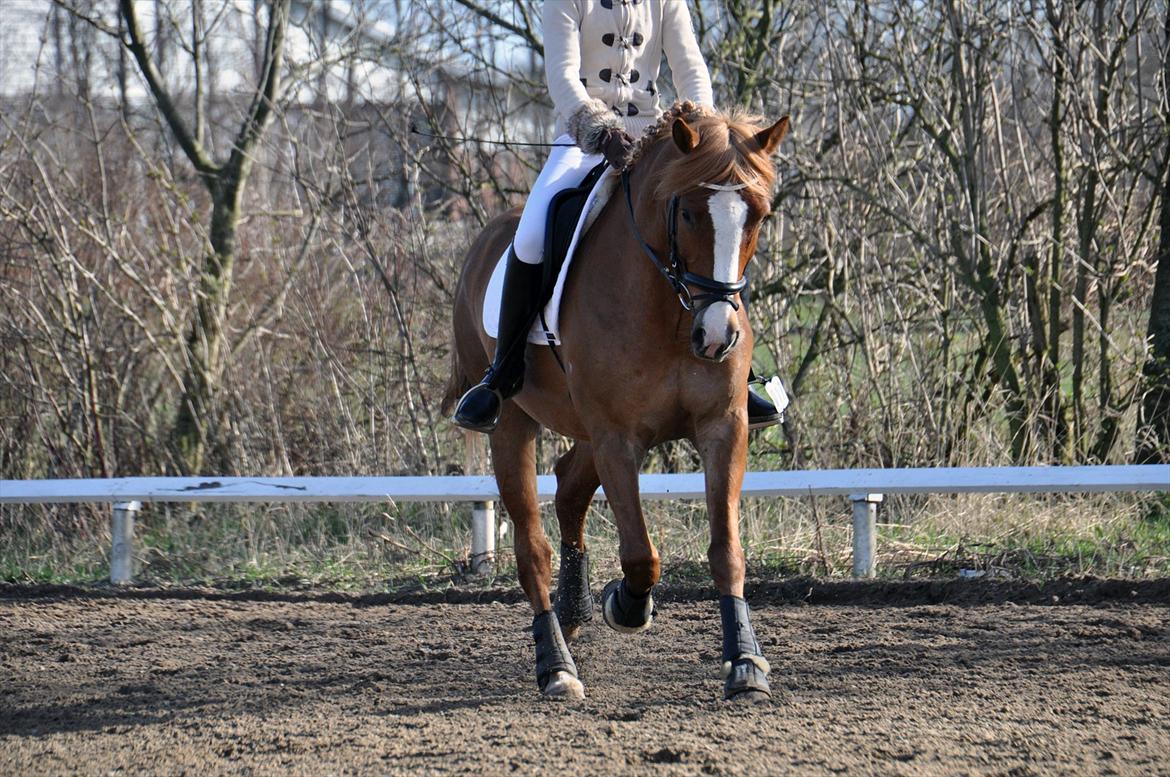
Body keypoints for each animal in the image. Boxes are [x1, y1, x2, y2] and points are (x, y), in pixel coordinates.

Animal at [442, 100, 790, 702]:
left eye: (758, 216)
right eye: (688, 213)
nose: (716, 337)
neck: (671, 308)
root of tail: (487, 237)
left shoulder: (723, 426)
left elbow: (726, 548)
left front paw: (745, 662)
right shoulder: (617, 438)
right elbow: (640, 555)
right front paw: (625, 605)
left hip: (583, 429)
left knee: (568, 489)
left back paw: (573, 611)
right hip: (514, 424)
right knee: (532, 546)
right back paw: (556, 664)